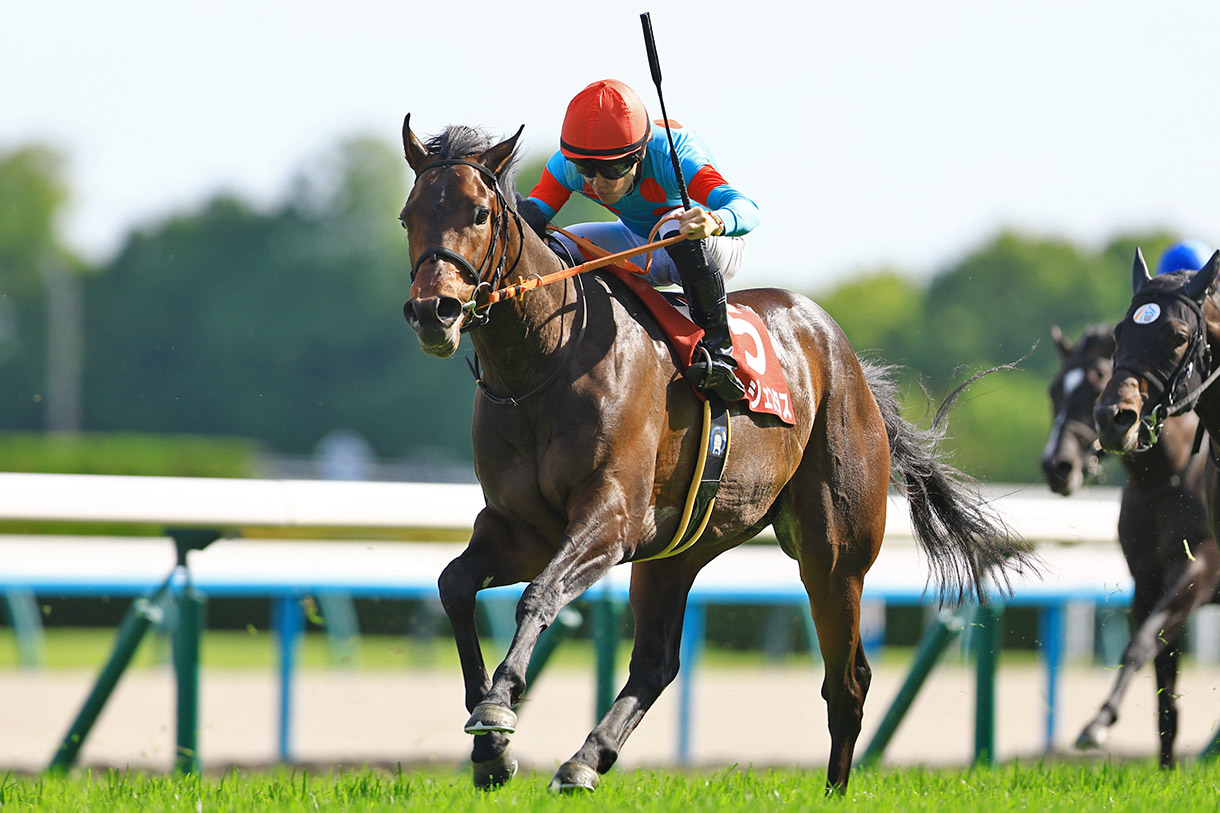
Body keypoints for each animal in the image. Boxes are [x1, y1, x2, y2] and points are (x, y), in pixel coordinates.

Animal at [397, 118, 1034, 794]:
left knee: (848, 679)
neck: (544, 361)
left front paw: (498, 708)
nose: (433, 311)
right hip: (678, 548)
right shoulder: (522, 528)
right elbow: (455, 585)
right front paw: (490, 744)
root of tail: (847, 358)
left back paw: (834, 792)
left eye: (480, 212)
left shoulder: (609, 518)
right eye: (409, 215)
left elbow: (539, 595)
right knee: (656, 663)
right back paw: (584, 760)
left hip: (834, 555)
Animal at [1041, 323, 1216, 766]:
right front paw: (1167, 767)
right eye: (1055, 389)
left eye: (1096, 384)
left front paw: (1099, 722)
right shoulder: (1146, 582)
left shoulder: (1198, 571)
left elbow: (1141, 645)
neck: (1165, 481)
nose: (1057, 466)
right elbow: (1164, 685)